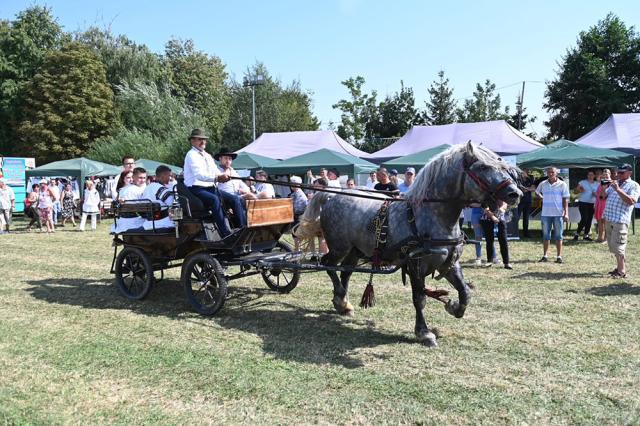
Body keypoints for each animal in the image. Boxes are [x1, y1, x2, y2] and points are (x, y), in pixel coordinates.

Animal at [298, 142, 524, 346]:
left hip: (356, 249)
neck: (430, 215)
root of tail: (330, 195)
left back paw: (344, 304)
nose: (515, 194)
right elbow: (419, 298)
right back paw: (339, 298)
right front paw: (424, 332)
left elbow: (465, 292)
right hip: (339, 247)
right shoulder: (416, 265)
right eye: (483, 167)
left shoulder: (449, 262)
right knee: (328, 265)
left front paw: (452, 306)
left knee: (346, 271)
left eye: (502, 165)